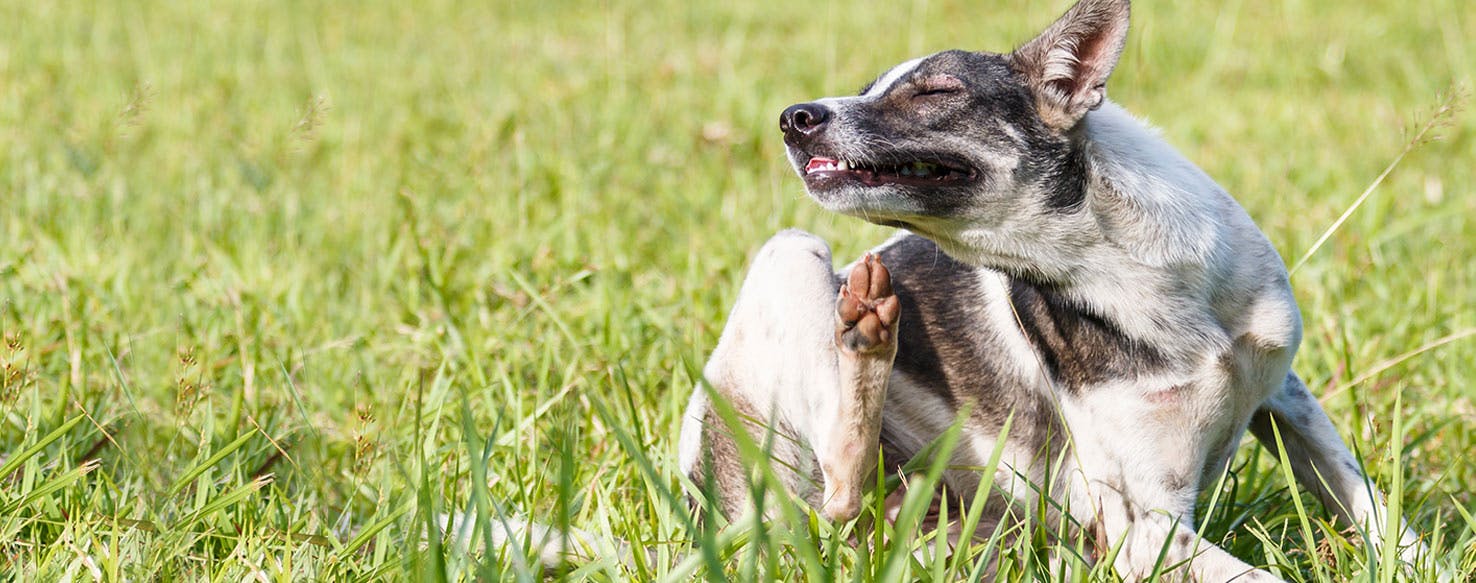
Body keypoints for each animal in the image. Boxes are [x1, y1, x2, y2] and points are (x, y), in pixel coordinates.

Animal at [678, 0, 1428, 578]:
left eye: (933, 91)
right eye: (869, 89)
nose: (792, 117)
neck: (1123, 267)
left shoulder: (1286, 396)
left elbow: (1374, 508)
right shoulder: (1145, 529)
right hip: (789, 255)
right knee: (839, 489)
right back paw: (865, 330)